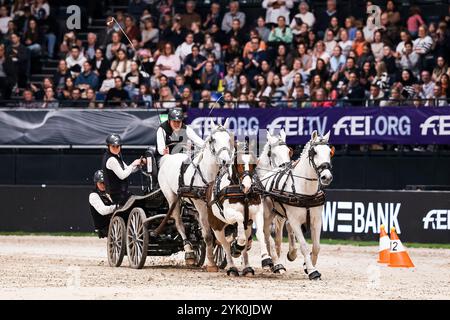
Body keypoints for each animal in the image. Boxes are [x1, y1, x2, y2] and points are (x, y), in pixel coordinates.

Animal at [158, 119, 234, 272]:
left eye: (229, 138)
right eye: (212, 139)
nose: (225, 161)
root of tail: (168, 158)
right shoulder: (201, 206)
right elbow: (208, 235)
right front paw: (211, 263)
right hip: (172, 198)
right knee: (179, 224)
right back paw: (189, 252)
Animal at [260, 131, 334, 280]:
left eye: (330, 152)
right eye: (314, 152)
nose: (326, 177)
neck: (305, 189)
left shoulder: (316, 220)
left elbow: (316, 246)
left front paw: (308, 265)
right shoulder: (295, 221)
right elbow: (304, 246)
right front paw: (312, 271)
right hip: (267, 214)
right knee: (266, 234)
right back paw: (273, 262)